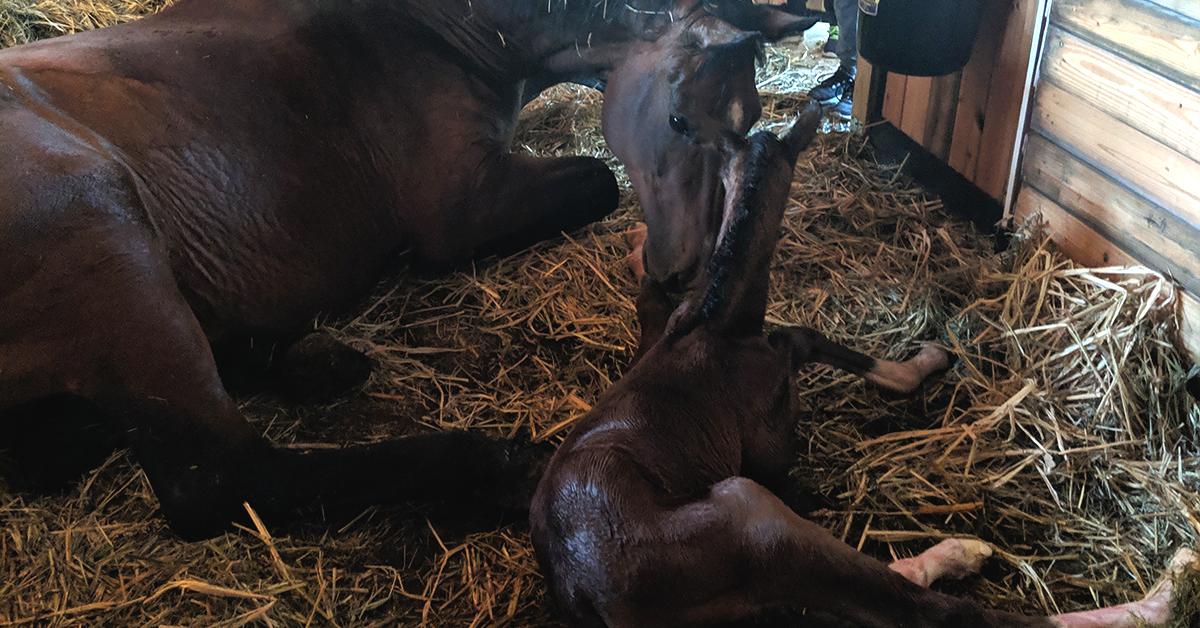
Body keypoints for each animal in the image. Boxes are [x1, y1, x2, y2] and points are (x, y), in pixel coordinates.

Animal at [0, 0, 817, 540]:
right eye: (678, 119)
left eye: (749, 126)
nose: (684, 271)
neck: (423, 30)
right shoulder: (459, 204)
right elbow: (598, 181)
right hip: (107, 234)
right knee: (221, 477)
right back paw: (494, 463)